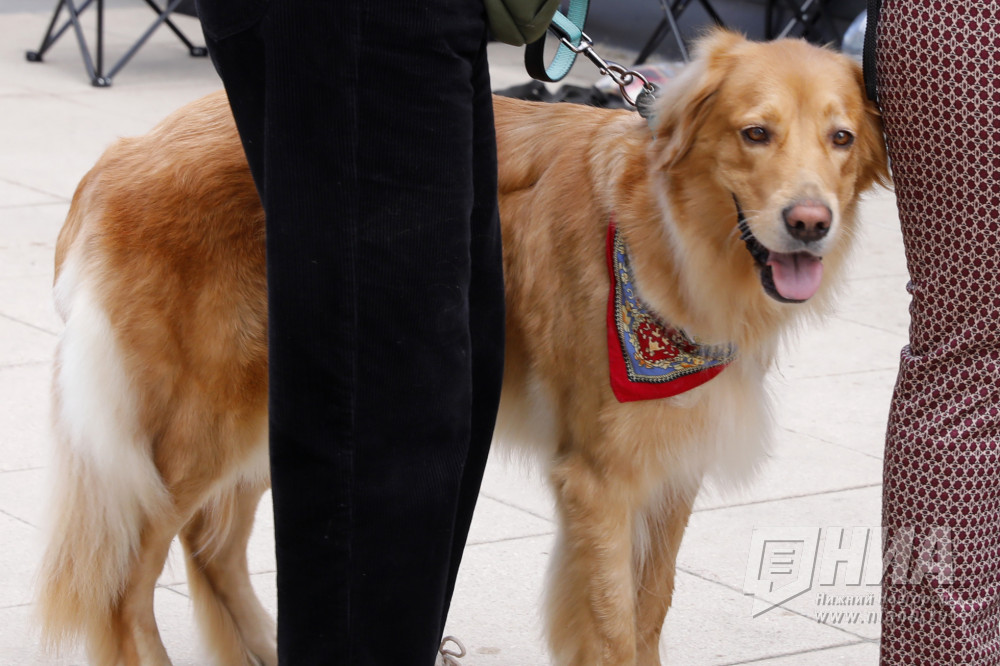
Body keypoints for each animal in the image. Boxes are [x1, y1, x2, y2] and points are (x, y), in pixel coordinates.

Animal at [35, 31, 888, 664]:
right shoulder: (602, 480)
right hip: (197, 426)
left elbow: (652, 610)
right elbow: (614, 627)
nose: (810, 222)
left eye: (841, 139)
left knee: (213, 546)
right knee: (124, 585)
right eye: (755, 133)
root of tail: (121, 152)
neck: (671, 235)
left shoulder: (671, 466)